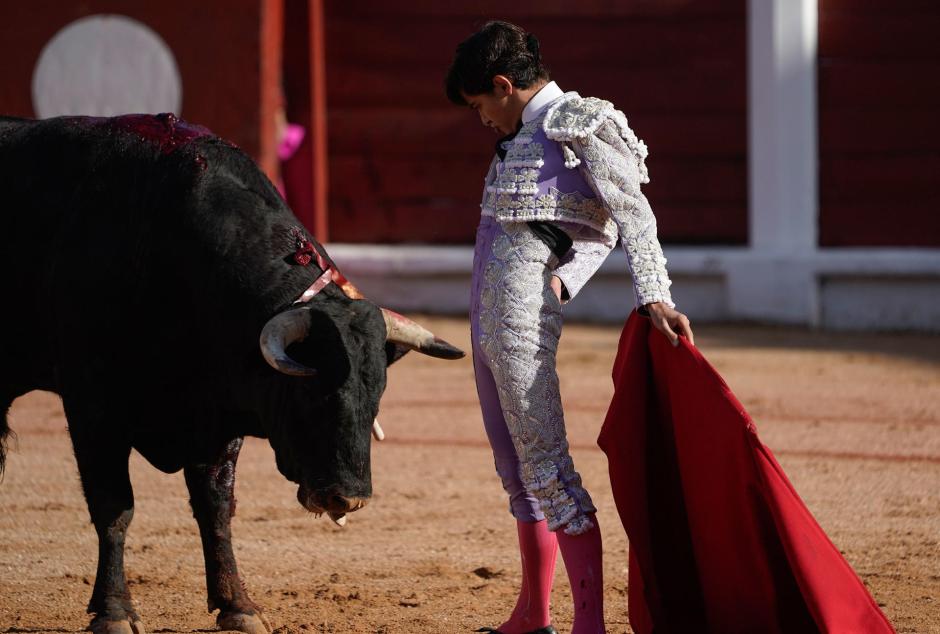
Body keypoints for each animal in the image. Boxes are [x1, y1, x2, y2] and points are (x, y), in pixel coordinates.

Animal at [0, 115, 462, 632]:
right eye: (313, 395)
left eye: (378, 396)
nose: (350, 498)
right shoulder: (92, 406)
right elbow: (114, 506)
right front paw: (115, 612)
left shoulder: (218, 412)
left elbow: (216, 508)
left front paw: (238, 606)